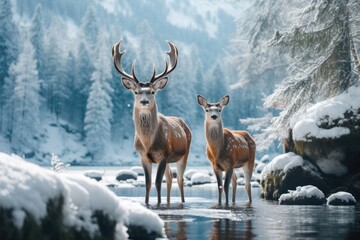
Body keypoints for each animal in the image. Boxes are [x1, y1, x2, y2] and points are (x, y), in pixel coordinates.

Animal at [112, 39, 191, 204]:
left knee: (179, 180)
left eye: (152, 92)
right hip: (170, 160)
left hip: (184, 153)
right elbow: (148, 183)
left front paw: (158, 203)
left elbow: (157, 183)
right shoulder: (143, 157)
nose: (144, 101)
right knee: (170, 178)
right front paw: (147, 202)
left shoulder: (163, 155)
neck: (149, 143)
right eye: (136, 92)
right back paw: (168, 201)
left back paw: (181, 201)